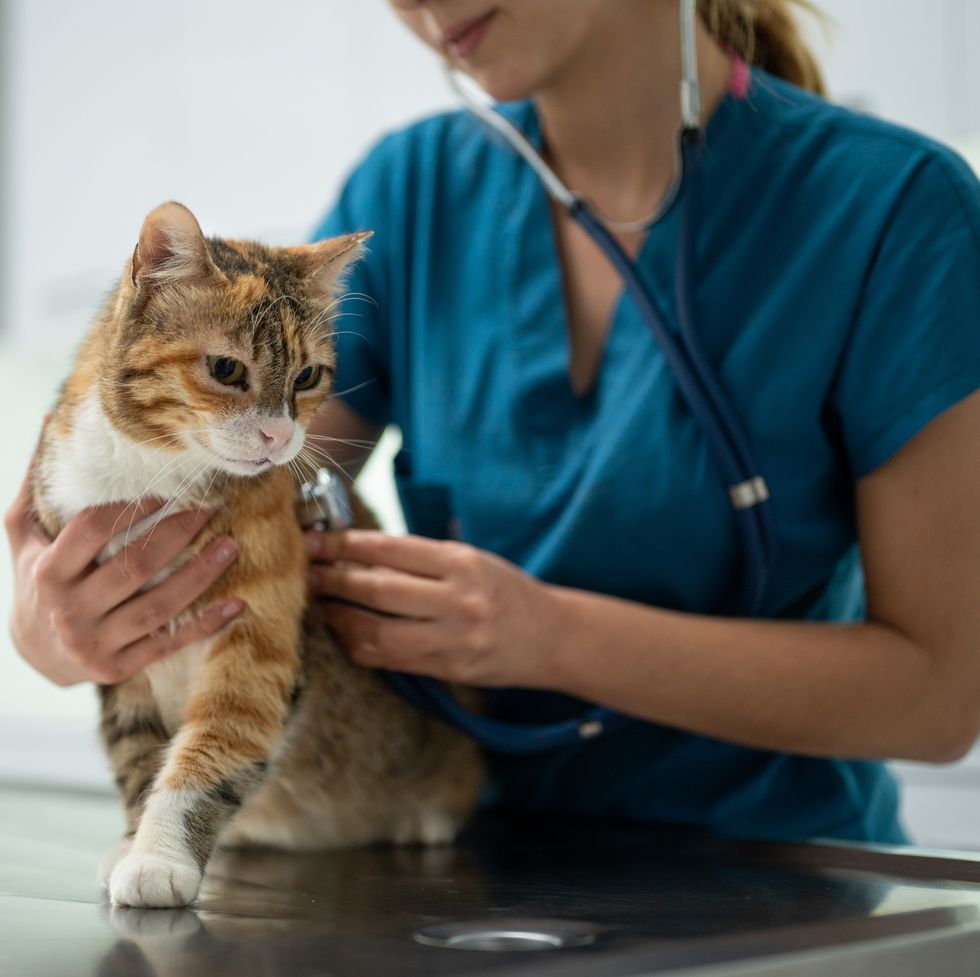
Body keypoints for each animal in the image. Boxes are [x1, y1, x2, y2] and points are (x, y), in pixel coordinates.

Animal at [32, 202, 484, 912]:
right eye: (225, 370)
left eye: (307, 377)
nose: (278, 436)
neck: (153, 480)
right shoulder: (115, 651)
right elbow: (136, 755)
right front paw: (133, 843)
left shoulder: (256, 644)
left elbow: (211, 749)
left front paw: (158, 858)